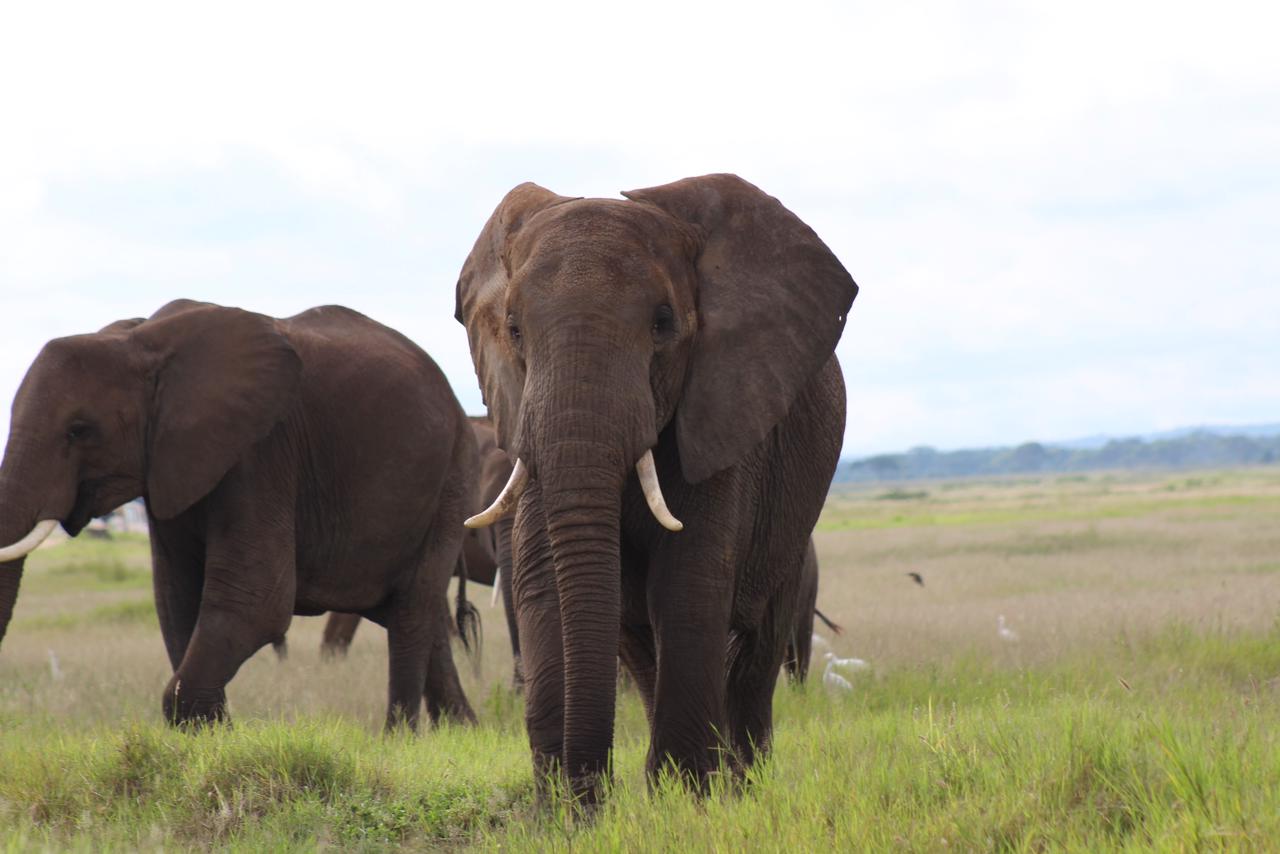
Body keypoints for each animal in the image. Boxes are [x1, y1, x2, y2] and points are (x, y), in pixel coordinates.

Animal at [0, 300, 478, 730]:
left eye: (78, 430)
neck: (139, 341)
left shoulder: (260, 451)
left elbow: (257, 600)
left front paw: (213, 732)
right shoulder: (171, 467)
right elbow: (176, 598)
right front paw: (216, 735)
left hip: (451, 480)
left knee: (412, 609)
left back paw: (400, 738)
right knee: (416, 612)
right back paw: (460, 731)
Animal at [455, 173, 858, 802]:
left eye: (663, 324)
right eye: (514, 330)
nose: (594, 793)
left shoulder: (724, 412)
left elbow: (689, 582)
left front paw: (688, 802)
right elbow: (542, 580)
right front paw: (566, 811)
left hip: (796, 522)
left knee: (756, 654)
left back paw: (743, 785)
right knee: (646, 653)